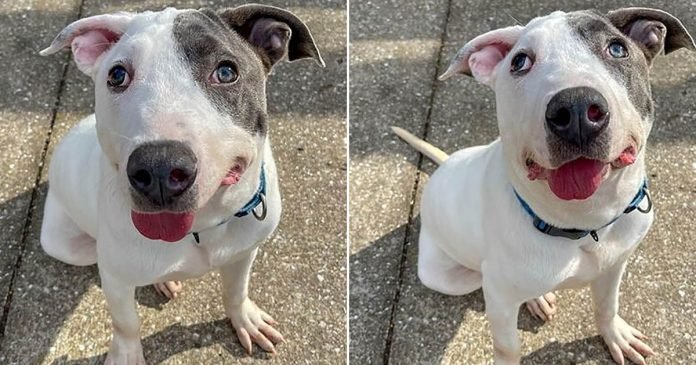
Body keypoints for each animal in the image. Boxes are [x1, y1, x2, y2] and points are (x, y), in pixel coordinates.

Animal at [42, 3, 324, 364]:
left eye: (226, 72)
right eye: (117, 76)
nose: (160, 169)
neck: (202, 228)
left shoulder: (244, 252)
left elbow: (236, 290)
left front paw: (245, 319)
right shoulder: (117, 280)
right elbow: (126, 323)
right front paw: (127, 354)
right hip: (65, 245)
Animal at [394, 6, 692, 364]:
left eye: (617, 49)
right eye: (520, 62)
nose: (576, 109)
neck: (585, 225)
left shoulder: (614, 265)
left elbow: (607, 305)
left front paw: (615, 336)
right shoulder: (499, 297)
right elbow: (507, 346)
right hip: (450, 277)